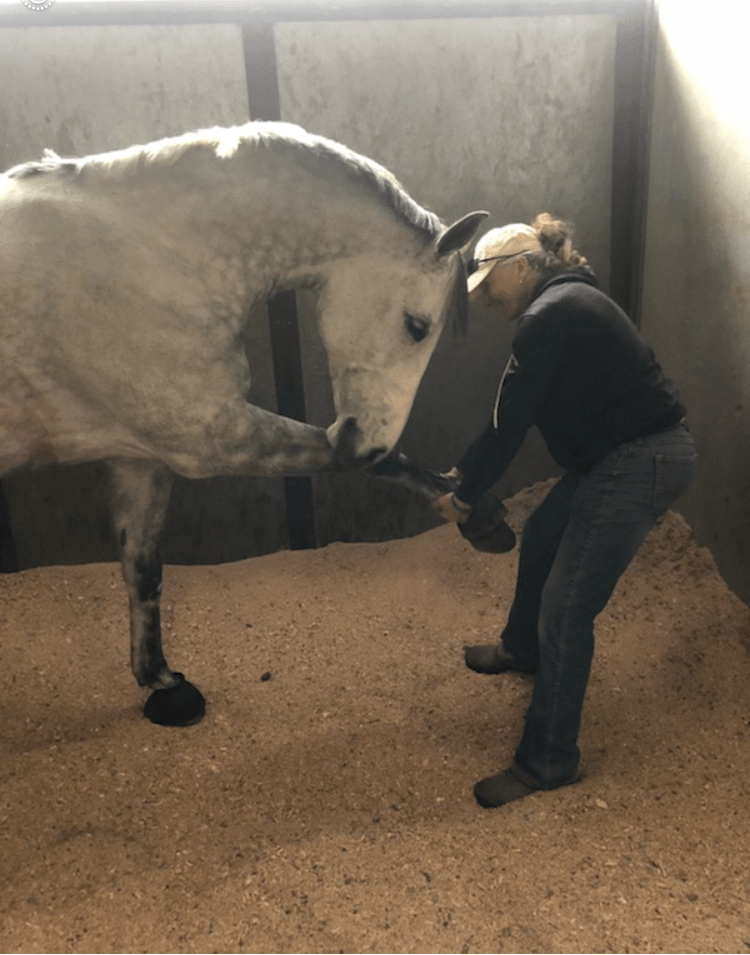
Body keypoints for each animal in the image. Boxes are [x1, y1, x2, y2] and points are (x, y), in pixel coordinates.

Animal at [0, 121, 487, 726]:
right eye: (417, 327)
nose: (368, 446)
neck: (149, 260)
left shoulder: (140, 458)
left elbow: (143, 568)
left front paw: (161, 681)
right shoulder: (214, 439)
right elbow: (357, 460)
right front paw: (469, 505)